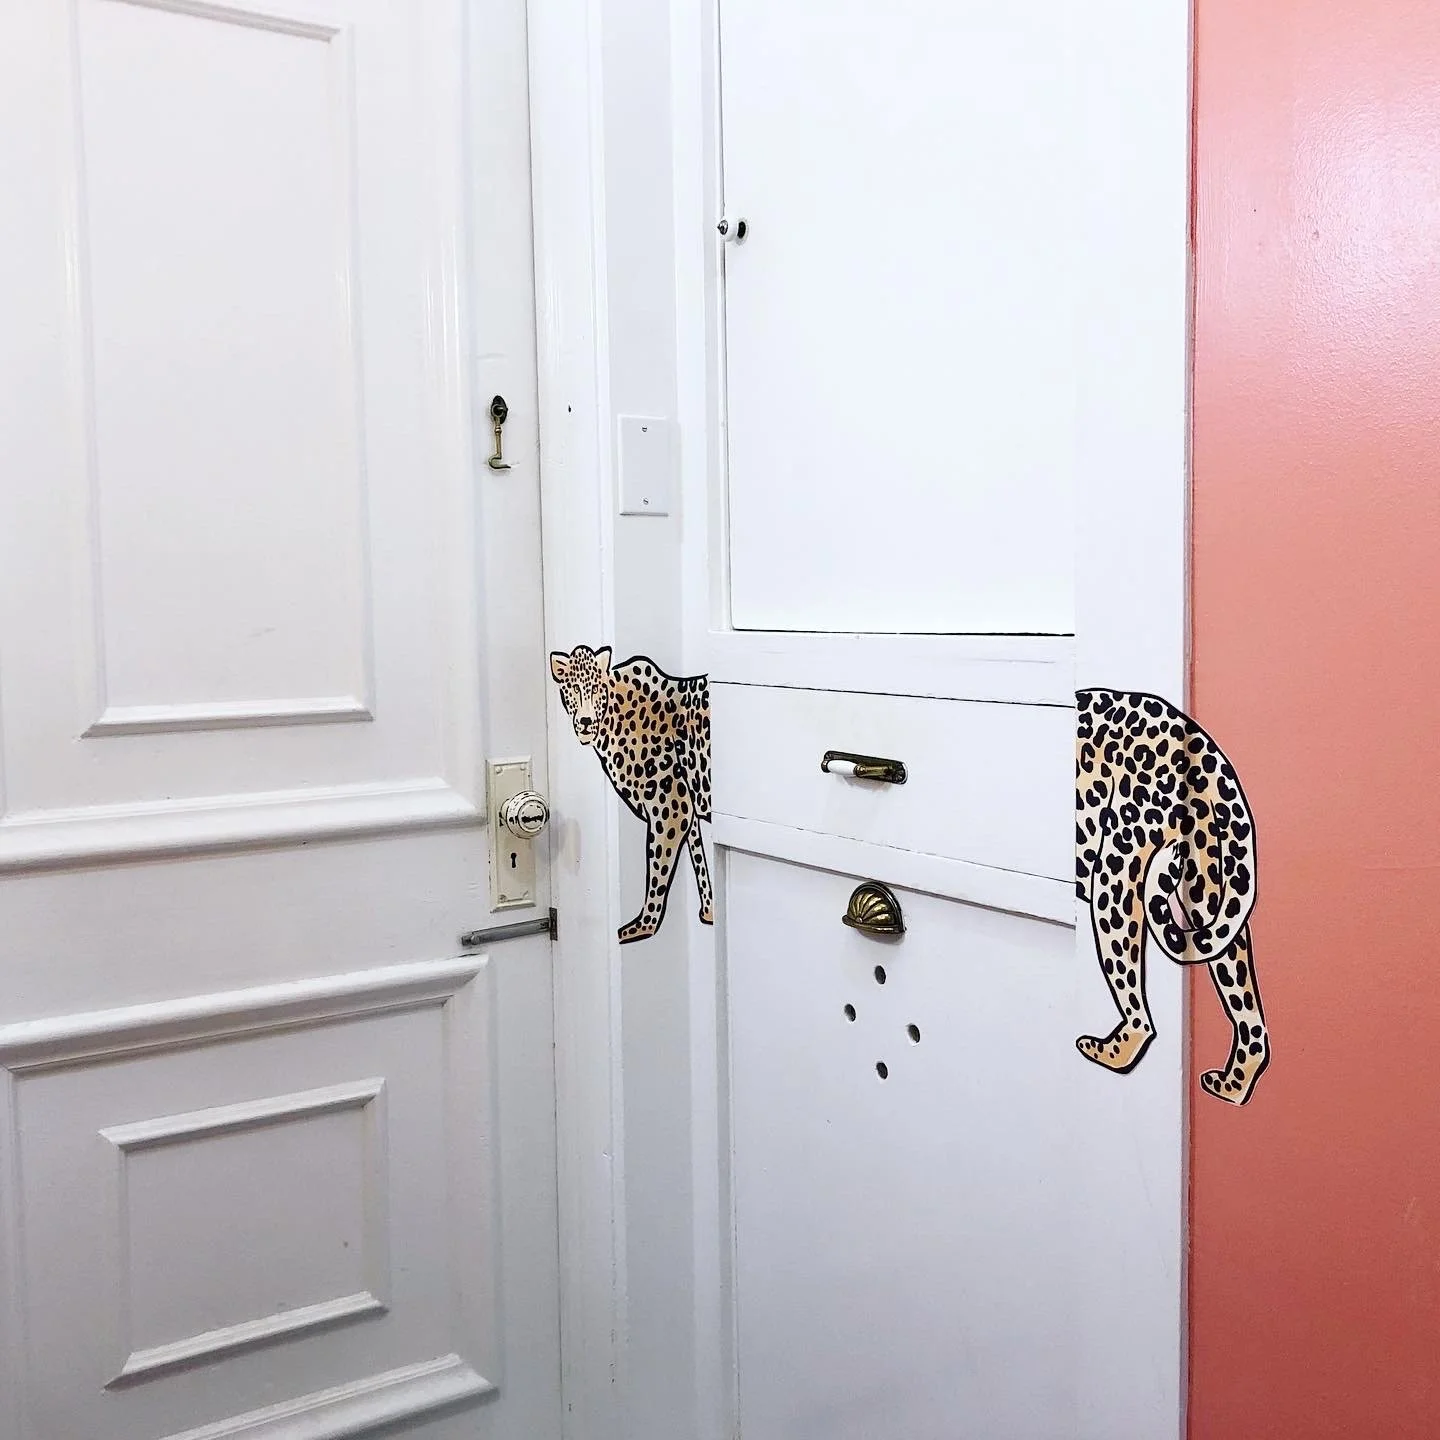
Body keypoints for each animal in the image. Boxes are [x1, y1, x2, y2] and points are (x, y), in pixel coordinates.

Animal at [550, 644, 714, 944]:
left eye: (595, 688)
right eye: (574, 688)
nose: (586, 721)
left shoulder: (671, 809)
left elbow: (657, 869)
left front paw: (644, 926)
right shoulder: (686, 804)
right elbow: (697, 853)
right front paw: (710, 911)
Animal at [1076, 688, 1269, 1105]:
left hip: (1116, 871)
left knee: (1140, 1014)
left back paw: (1109, 1050)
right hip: (1207, 884)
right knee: (1245, 1001)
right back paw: (1234, 1086)